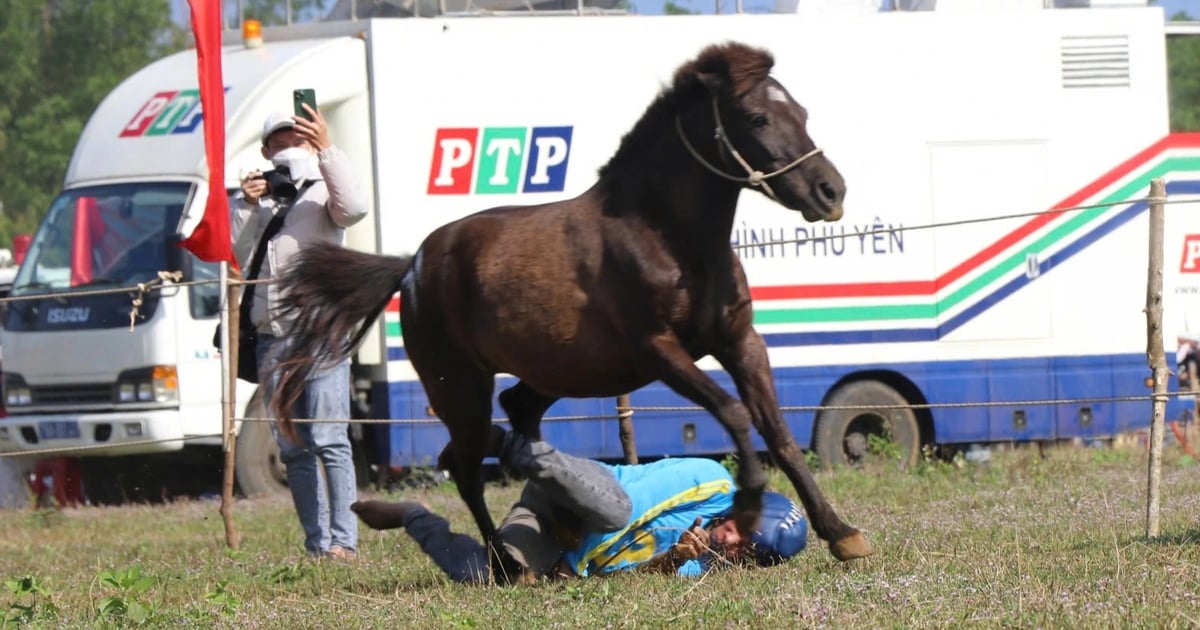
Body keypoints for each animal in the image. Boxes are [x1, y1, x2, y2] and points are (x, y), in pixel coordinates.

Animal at [272, 41, 873, 561]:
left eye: (801, 111)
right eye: (756, 118)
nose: (831, 191)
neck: (668, 236)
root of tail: (413, 266)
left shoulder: (739, 341)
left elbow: (780, 434)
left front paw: (841, 533)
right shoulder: (658, 350)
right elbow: (732, 412)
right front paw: (747, 506)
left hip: (554, 373)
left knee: (513, 421)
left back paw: (556, 525)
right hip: (459, 387)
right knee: (464, 464)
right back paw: (504, 564)